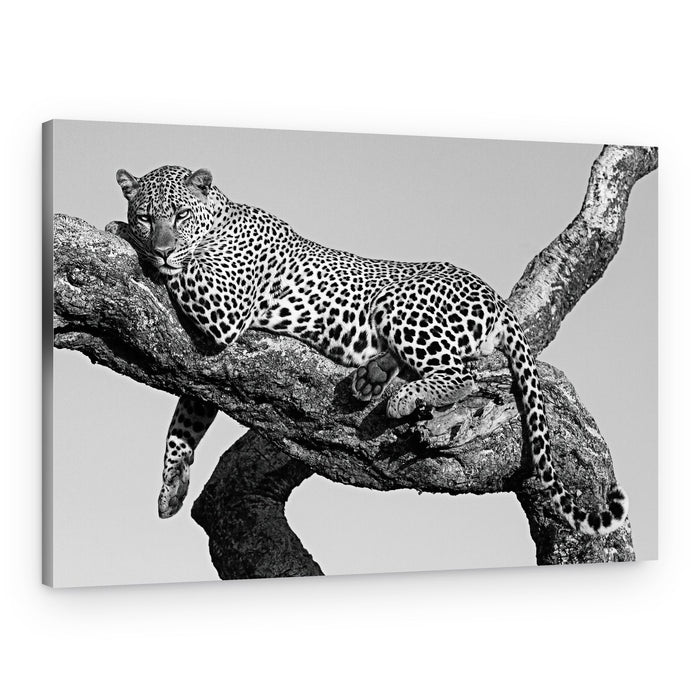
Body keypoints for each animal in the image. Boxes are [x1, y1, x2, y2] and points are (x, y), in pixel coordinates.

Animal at [111, 164, 629, 536]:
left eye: (179, 216)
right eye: (147, 216)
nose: (159, 248)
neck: (220, 217)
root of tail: (497, 297)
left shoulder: (225, 307)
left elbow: (186, 269)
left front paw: (117, 230)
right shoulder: (207, 365)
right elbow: (187, 417)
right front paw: (172, 484)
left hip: (399, 303)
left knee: (462, 373)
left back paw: (402, 396)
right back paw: (373, 377)